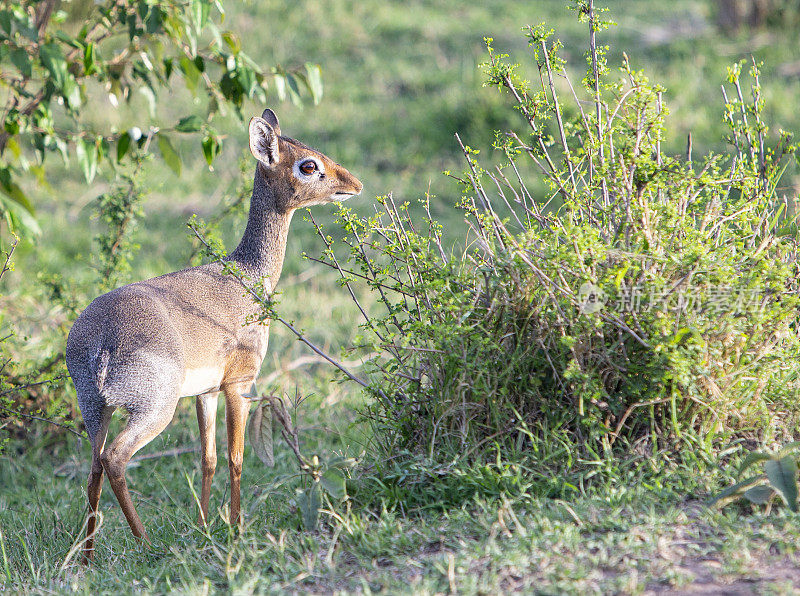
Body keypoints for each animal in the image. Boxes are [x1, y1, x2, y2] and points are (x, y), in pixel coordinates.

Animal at [69, 109, 362, 560]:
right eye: (308, 165)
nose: (354, 184)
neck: (248, 275)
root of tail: (102, 339)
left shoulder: (205, 392)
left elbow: (207, 458)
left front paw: (205, 526)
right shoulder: (239, 384)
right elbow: (236, 457)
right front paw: (236, 529)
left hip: (95, 407)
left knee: (94, 465)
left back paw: (86, 559)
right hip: (153, 408)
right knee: (116, 459)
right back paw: (146, 544)